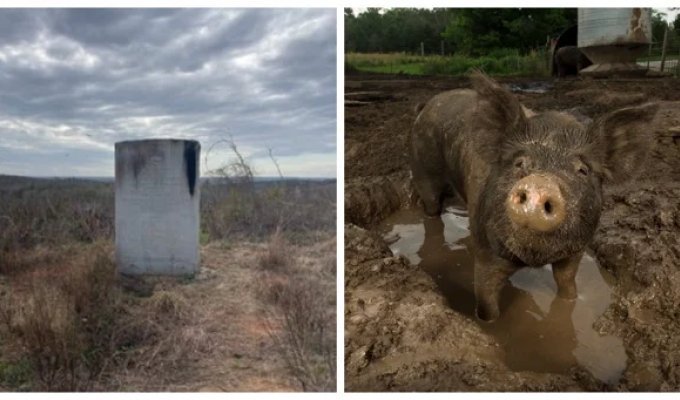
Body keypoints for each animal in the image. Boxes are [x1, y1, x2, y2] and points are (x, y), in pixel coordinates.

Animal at [410, 72, 660, 322]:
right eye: (520, 163)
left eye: (583, 170)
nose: (540, 184)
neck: (533, 260)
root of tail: (428, 105)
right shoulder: (487, 252)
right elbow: (486, 302)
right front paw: (489, 324)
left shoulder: (576, 250)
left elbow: (567, 283)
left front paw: (570, 302)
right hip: (423, 167)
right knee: (431, 209)